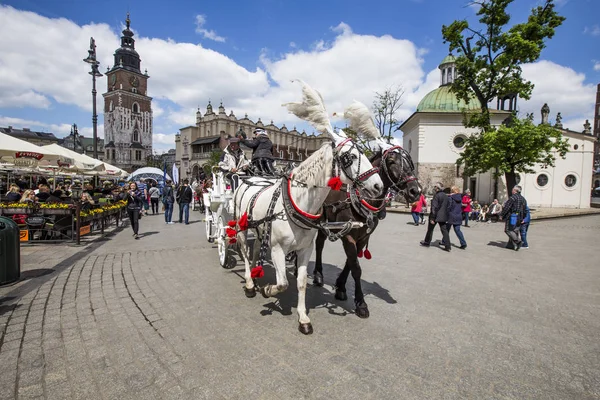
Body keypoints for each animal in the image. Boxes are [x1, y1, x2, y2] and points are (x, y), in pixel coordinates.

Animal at [232, 81, 382, 334]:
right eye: (350, 157)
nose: (379, 185)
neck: (297, 203)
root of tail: (250, 179)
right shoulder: (277, 250)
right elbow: (283, 282)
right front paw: (269, 290)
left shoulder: (305, 249)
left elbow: (301, 282)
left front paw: (303, 318)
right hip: (241, 228)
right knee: (243, 250)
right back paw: (251, 283)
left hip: (260, 229)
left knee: (253, 250)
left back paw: (254, 272)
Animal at [314, 147, 422, 318]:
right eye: (391, 161)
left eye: (410, 163)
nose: (415, 191)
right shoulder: (348, 236)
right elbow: (356, 269)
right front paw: (361, 303)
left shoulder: (363, 238)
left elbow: (350, 263)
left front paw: (340, 287)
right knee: (319, 245)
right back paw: (317, 275)